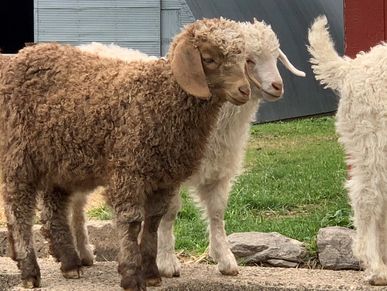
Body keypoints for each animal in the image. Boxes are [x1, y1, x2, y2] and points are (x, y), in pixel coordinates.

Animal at [0, 18, 250, 291]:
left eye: (243, 59)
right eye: (209, 58)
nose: (244, 90)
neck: (160, 96)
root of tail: (19, 56)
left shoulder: (164, 178)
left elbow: (153, 222)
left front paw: (151, 273)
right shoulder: (128, 169)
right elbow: (131, 222)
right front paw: (131, 275)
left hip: (58, 162)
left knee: (53, 210)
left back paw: (70, 264)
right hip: (19, 155)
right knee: (19, 210)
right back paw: (30, 271)